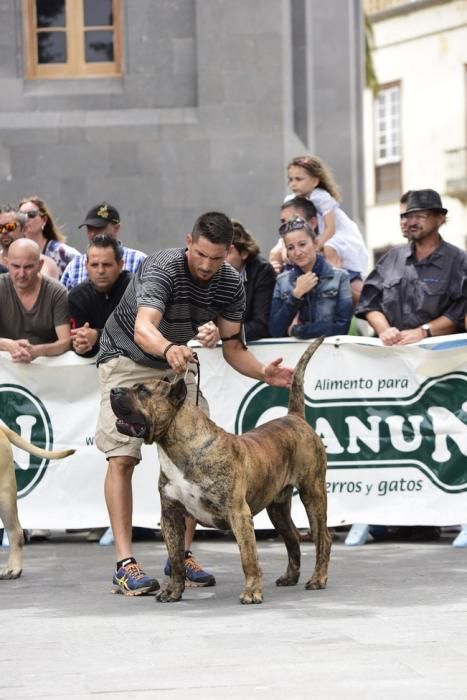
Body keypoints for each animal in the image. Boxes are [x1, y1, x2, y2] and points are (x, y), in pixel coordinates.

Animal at [111, 336, 332, 604]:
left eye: (143, 390)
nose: (113, 391)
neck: (179, 448)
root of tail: (296, 417)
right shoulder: (171, 516)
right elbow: (176, 559)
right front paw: (173, 591)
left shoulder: (239, 514)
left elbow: (248, 557)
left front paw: (251, 592)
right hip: (277, 508)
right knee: (292, 538)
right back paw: (290, 577)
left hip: (313, 493)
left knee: (323, 537)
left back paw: (317, 579)